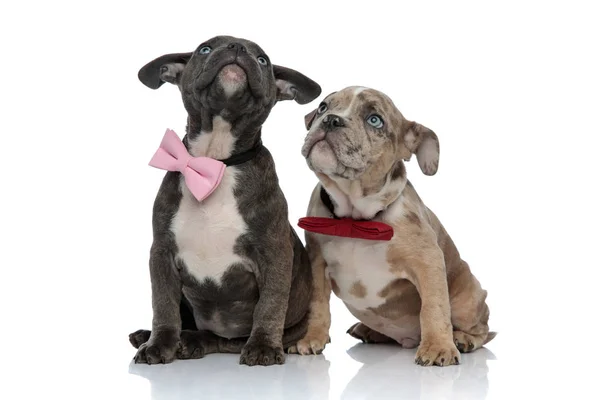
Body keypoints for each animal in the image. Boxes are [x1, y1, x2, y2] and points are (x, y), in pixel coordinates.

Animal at [129, 36, 322, 366]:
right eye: (205, 49)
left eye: (263, 60)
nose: (236, 47)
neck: (216, 161)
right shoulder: (162, 253)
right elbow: (163, 304)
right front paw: (159, 343)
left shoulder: (274, 253)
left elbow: (270, 303)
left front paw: (263, 346)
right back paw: (155, 336)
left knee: (222, 340)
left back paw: (194, 341)